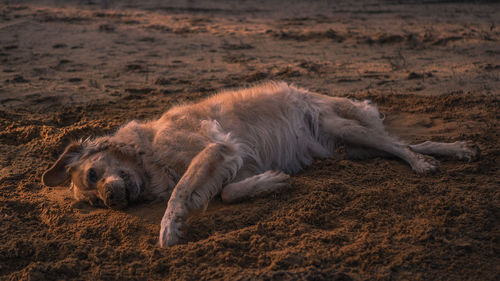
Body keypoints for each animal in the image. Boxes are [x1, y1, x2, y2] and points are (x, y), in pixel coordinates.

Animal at [41, 81, 478, 245]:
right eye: (93, 201)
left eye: (94, 173)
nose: (112, 201)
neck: (147, 151)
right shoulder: (234, 159)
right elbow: (230, 192)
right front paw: (272, 182)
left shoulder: (217, 148)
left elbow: (182, 191)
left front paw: (170, 227)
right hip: (353, 148)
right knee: (404, 143)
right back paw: (456, 150)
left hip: (344, 128)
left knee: (401, 147)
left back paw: (424, 164)